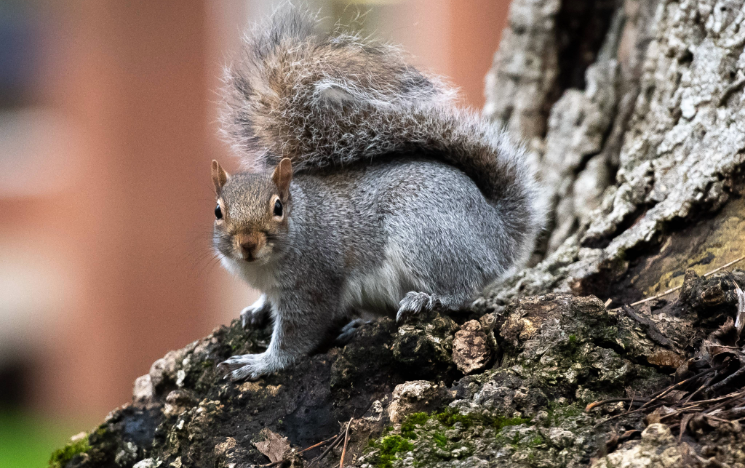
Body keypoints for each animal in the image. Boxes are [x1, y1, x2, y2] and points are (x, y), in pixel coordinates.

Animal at [212, 8, 544, 380]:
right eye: (218, 211)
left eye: (278, 207)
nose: (248, 244)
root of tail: (498, 232)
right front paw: (256, 309)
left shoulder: (315, 281)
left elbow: (298, 335)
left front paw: (260, 363)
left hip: (425, 235)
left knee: (464, 289)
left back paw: (428, 300)